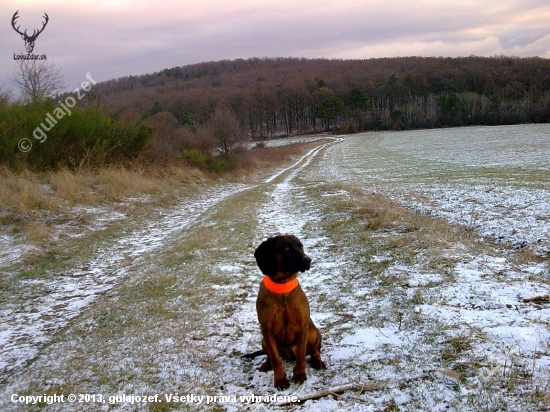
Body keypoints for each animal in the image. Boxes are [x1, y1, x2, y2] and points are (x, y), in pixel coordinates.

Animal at [256, 235, 328, 390]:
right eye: (287, 248)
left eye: (301, 246)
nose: (307, 260)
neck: (282, 287)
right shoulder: (266, 330)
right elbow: (276, 359)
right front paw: (280, 379)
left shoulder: (303, 327)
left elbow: (301, 356)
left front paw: (299, 375)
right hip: (264, 340)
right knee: (270, 355)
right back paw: (266, 364)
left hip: (313, 333)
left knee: (315, 351)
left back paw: (317, 361)